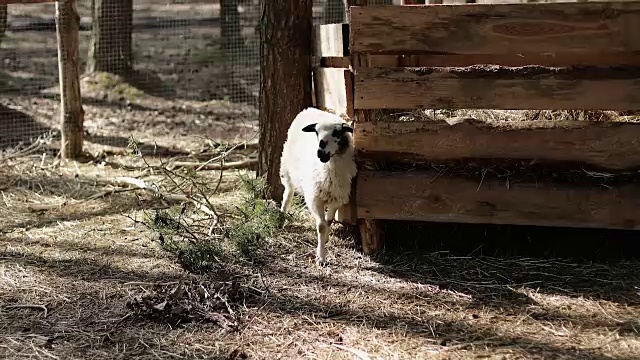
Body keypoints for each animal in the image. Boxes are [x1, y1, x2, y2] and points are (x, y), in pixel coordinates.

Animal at [282, 106, 360, 264]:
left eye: (337, 133)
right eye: (316, 132)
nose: (320, 153)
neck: (329, 171)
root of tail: (309, 108)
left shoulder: (337, 198)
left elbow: (329, 221)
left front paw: (326, 239)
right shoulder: (315, 198)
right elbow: (321, 226)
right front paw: (321, 257)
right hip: (287, 167)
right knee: (288, 192)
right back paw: (281, 216)